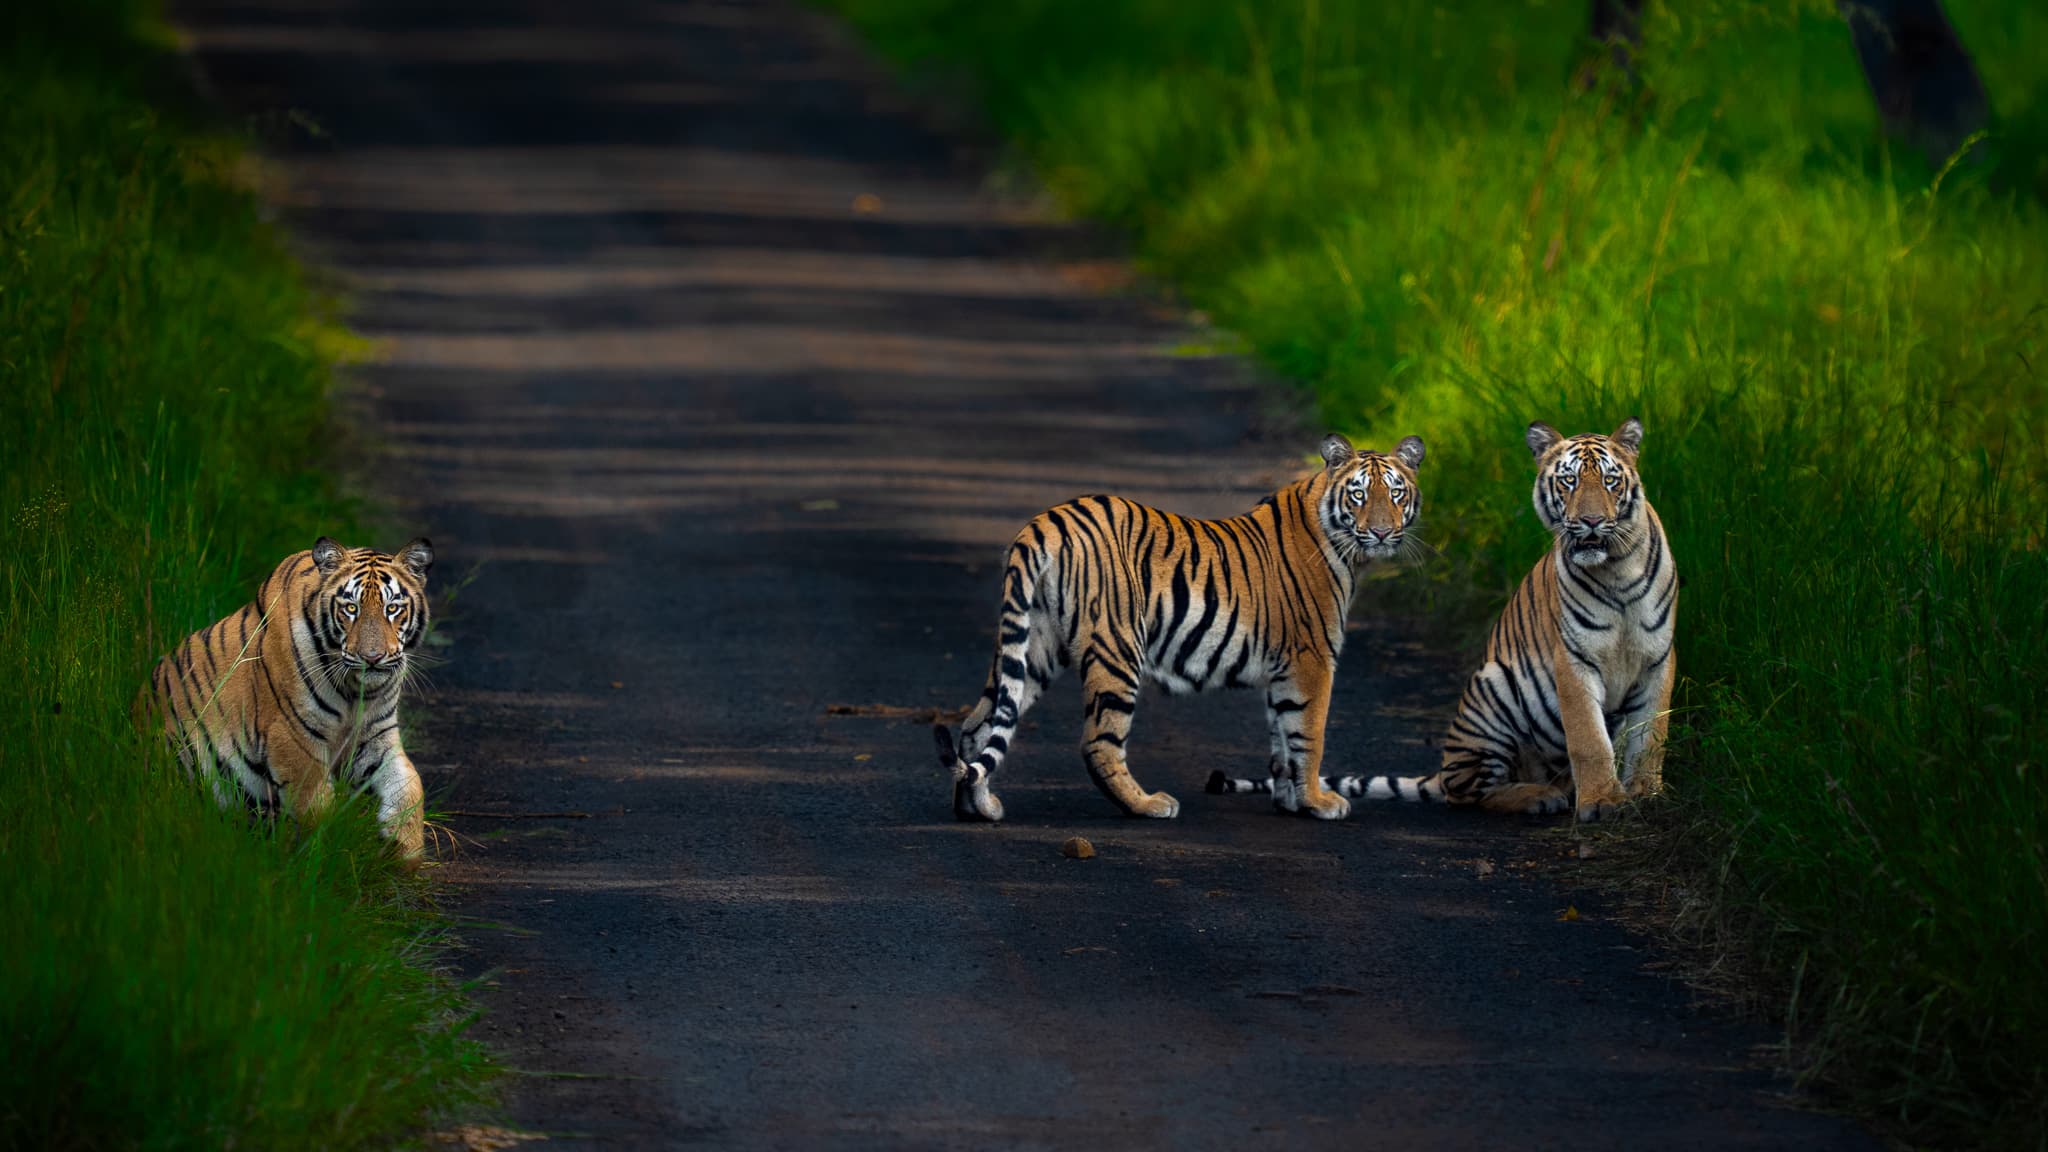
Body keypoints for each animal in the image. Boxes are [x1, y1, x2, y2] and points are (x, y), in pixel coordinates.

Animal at [149, 537, 435, 858]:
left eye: (392, 608)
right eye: (351, 608)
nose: (372, 658)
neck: (356, 693)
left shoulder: (375, 738)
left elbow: (410, 786)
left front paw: (405, 849)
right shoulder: (292, 738)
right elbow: (317, 811)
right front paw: (323, 859)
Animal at [934, 432, 1425, 823]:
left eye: (1396, 494)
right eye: (1359, 495)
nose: (1382, 533)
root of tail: (1044, 522)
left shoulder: (1282, 669)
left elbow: (1282, 738)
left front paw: (1289, 801)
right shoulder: (1312, 659)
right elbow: (1309, 734)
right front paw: (1319, 802)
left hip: (1032, 646)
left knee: (979, 723)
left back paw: (977, 807)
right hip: (1118, 648)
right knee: (1098, 743)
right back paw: (1148, 804)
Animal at [1207, 418, 1675, 823]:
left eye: (1611, 481)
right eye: (1569, 481)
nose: (1591, 522)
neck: (1616, 571)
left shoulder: (1660, 660)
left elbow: (1651, 737)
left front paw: (1645, 796)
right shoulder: (1573, 661)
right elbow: (1590, 739)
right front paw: (1602, 803)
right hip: (1493, 692)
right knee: (1467, 791)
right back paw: (1540, 796)